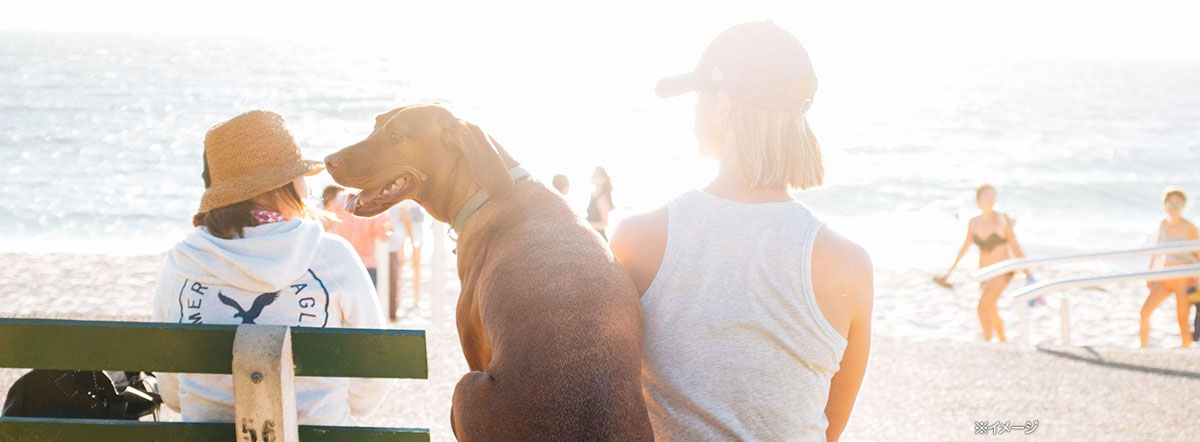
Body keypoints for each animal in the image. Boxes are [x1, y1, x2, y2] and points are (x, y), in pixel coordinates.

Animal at [324, 104, 652, 442]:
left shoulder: (474, 348)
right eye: (375, 125)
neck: (487, 191)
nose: (328, 160)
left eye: (395, 136)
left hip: (463, 388)